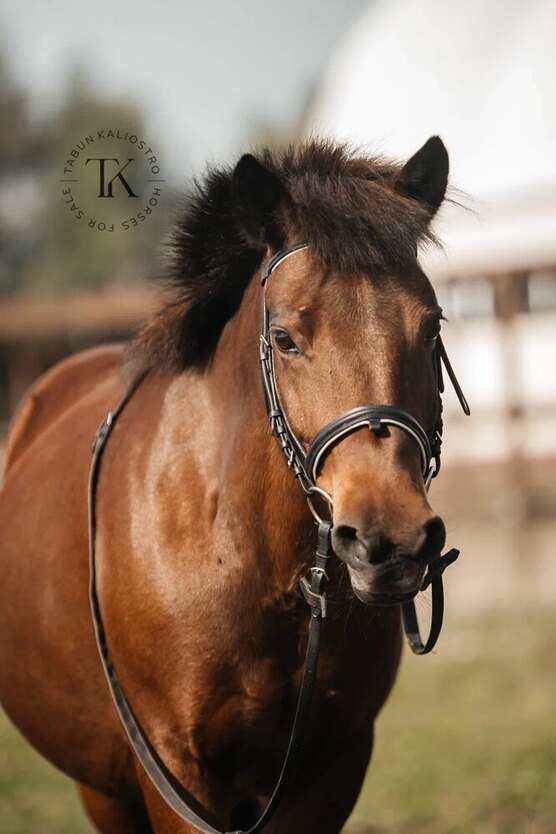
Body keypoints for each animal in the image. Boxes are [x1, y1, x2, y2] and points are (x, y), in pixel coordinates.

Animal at [0, 136, 459, 834]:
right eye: (285, 338)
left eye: (431, 327)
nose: (390, 541)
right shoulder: (175, 770)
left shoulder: (334, 765)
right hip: (103, 786)